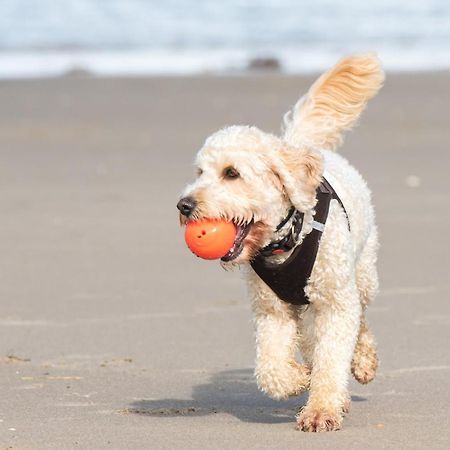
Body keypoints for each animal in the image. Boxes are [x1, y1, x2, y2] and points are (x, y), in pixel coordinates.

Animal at [178, 54, 384, 430]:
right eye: (200, 172)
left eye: (231, 173)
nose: (184, 205)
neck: (286, 240)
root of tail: (301, 145)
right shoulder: (272, 311)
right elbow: (271, 368)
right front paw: (299, 378)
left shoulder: (335, 302)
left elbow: (332, 357)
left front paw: (321, 410)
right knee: (312, 341)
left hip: (362, 276)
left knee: (360, 318)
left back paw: (362, 361)